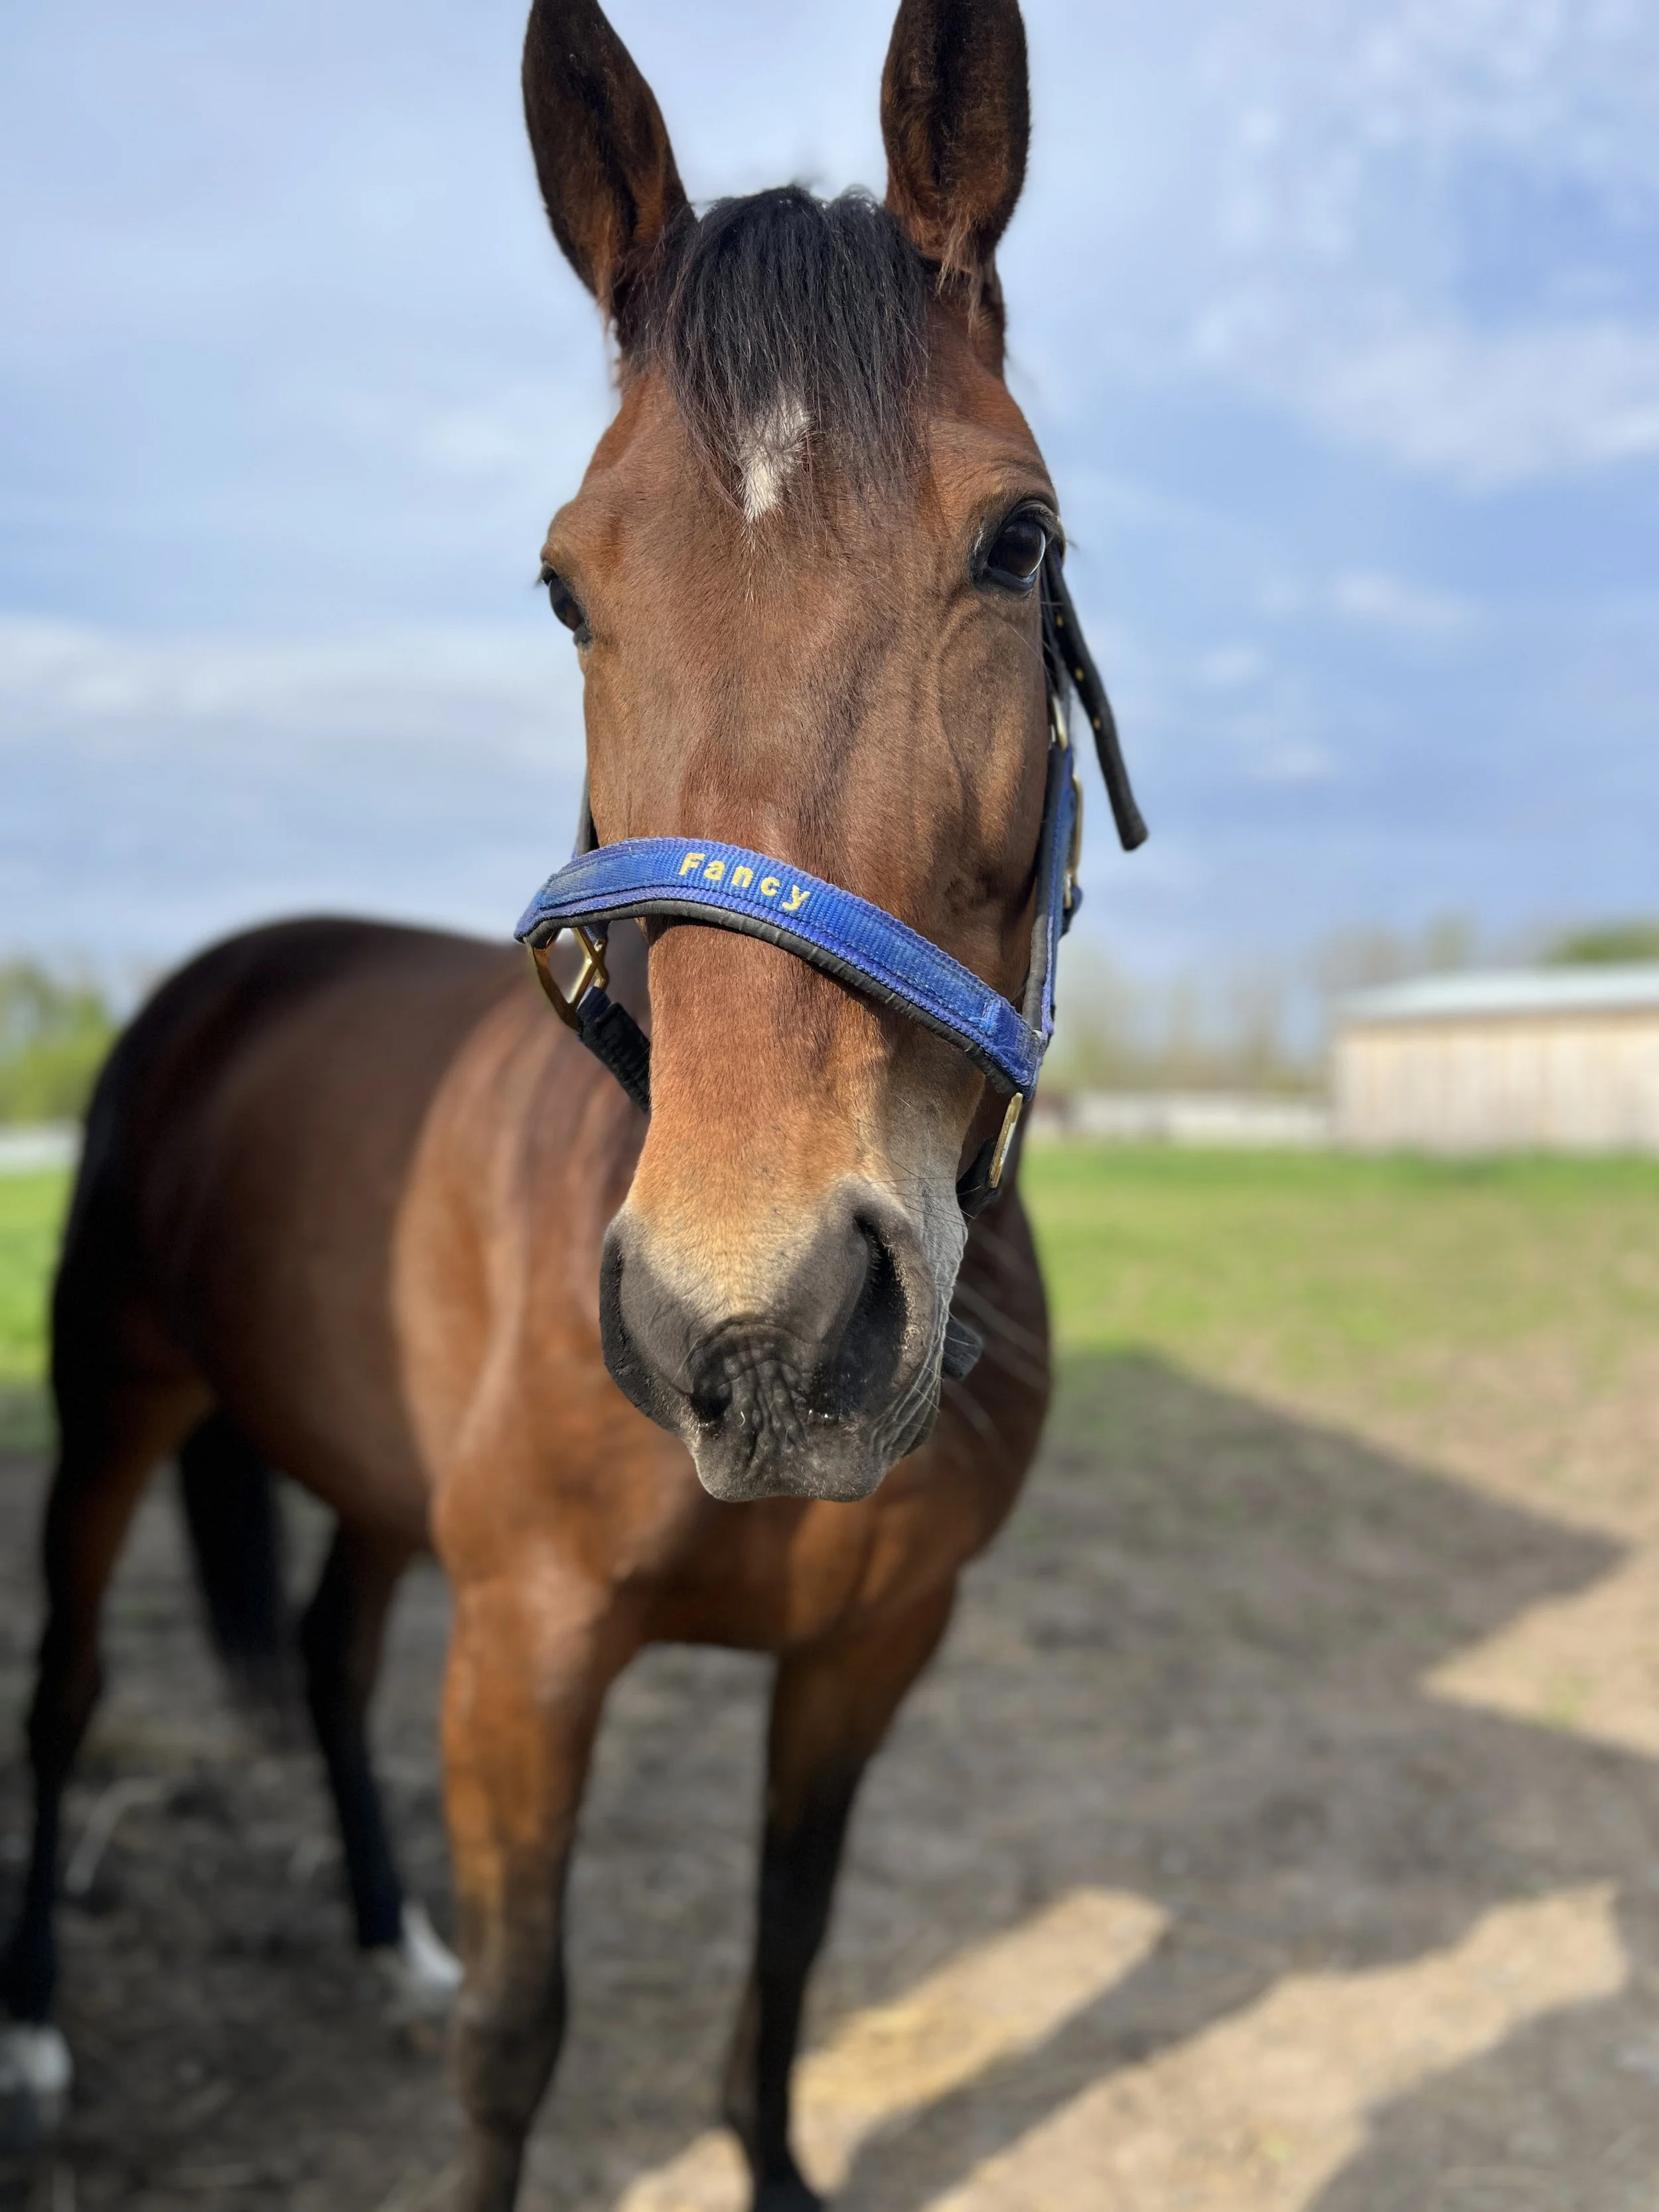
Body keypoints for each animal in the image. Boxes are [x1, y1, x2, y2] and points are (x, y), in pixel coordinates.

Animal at [0, 1, 1122, 2204]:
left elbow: (784, 1961)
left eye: (1015, 539)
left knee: (328, 1651)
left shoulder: (867, 1654)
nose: (761, 1328)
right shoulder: (524, 1651)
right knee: (68, 1687)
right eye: (562, 588)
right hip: (114, 1408)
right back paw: (37, 2040)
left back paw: (385, 1940)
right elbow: (522, 2033)